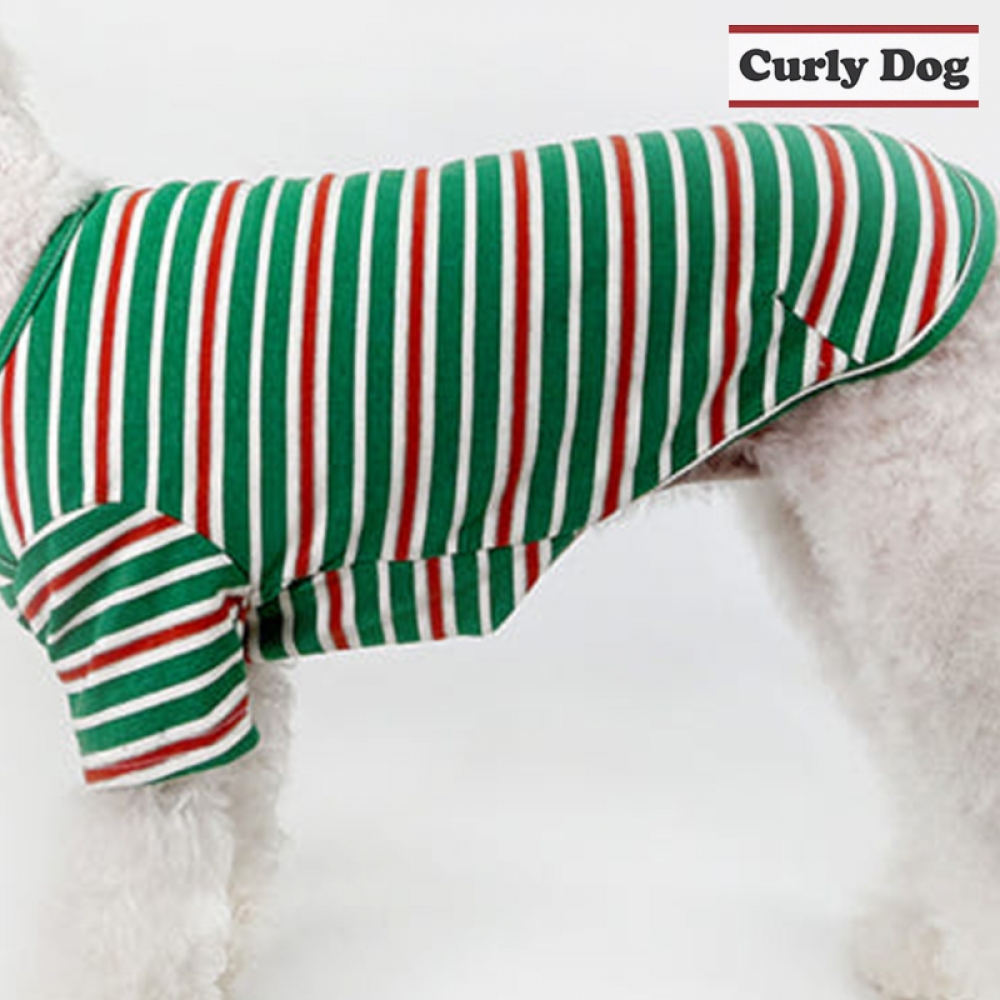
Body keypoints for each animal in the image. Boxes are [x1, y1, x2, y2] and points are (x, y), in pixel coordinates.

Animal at [3, 31, 1000, 1000]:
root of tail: (963, 187)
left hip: (933, 545)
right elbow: (231, 838)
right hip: (842, 548)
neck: (29, 255)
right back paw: (919, 951)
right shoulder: (221, 645)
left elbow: (130, 917)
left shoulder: (142, 625)